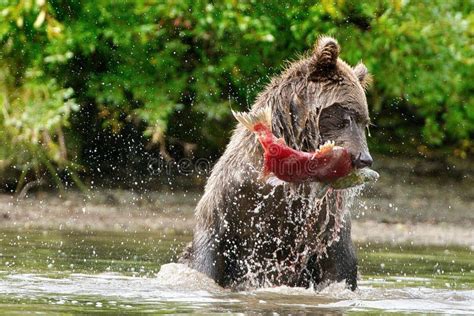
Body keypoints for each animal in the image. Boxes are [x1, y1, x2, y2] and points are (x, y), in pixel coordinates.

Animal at [183, 35, 372, 290]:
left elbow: (338, 265)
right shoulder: (230, 202)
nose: (365, 158)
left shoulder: (326, 222)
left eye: (365, 122)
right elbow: (208, 255)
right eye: (348, 117)